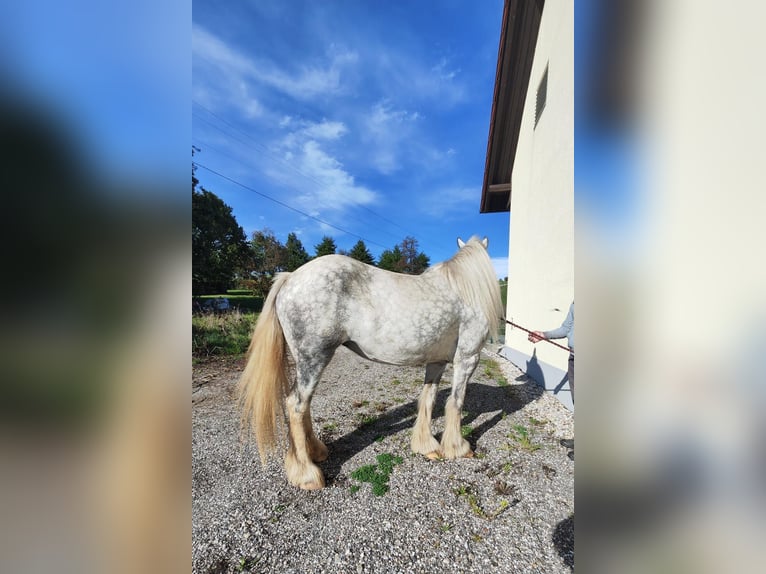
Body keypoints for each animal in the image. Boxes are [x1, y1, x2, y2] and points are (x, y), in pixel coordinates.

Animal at [238, 236, 503, 490]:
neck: (465, 291)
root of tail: (290, 277)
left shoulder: (436, 362)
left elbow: (428, 399)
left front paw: (427, 446)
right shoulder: (467, 358)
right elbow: (456, 402)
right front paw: (458, 448)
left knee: (304, 405)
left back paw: (317, 452)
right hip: (314, 359)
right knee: (296, 405)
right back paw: (307, 475)